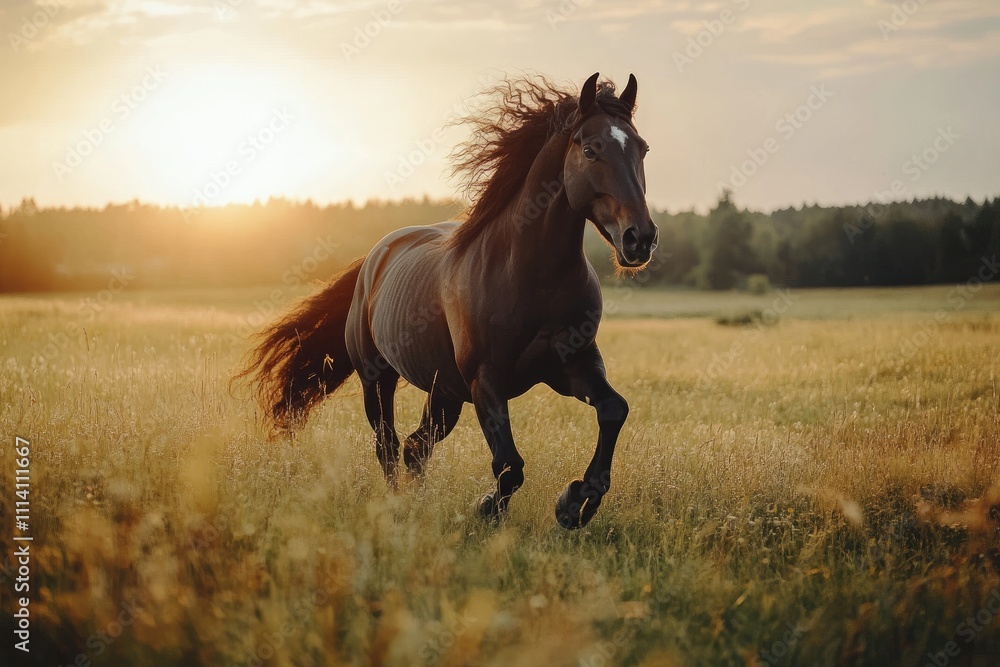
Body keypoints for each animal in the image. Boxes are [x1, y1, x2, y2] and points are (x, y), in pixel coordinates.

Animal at [236, 72, 657, 529]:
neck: (530, 276)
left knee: (415, 448)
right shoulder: (486, 380)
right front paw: (489, 508)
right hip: (378, 378)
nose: (640, 238)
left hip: (445, 392)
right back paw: (397, 509)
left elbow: (614, 409)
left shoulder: (572, 365)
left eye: (643, 149)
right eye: (591, 149)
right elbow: (509, 466)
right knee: (388, 445)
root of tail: (373, 259)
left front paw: (575, 503)